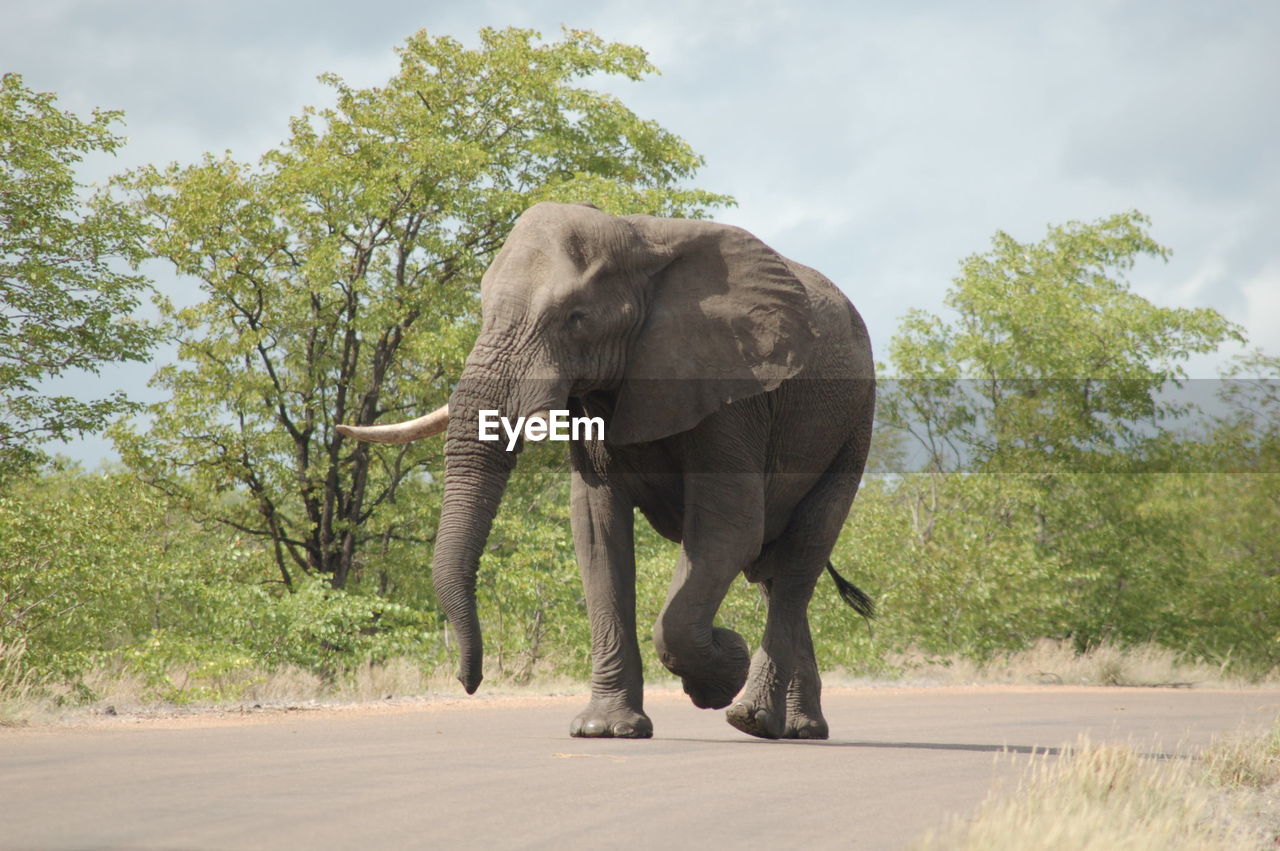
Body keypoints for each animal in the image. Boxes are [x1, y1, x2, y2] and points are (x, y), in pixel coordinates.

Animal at [335, 200, 875, 737]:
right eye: (484, 310)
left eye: (576, 318)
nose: (469, 681)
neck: (639, 240)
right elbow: (596, 533)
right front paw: (605, 729)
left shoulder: (732, 393)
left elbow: (728, 530)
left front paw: (723, 671)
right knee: (775, 571)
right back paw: (798, 727)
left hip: (854, 429)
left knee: (801, 554)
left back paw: (756, 720)